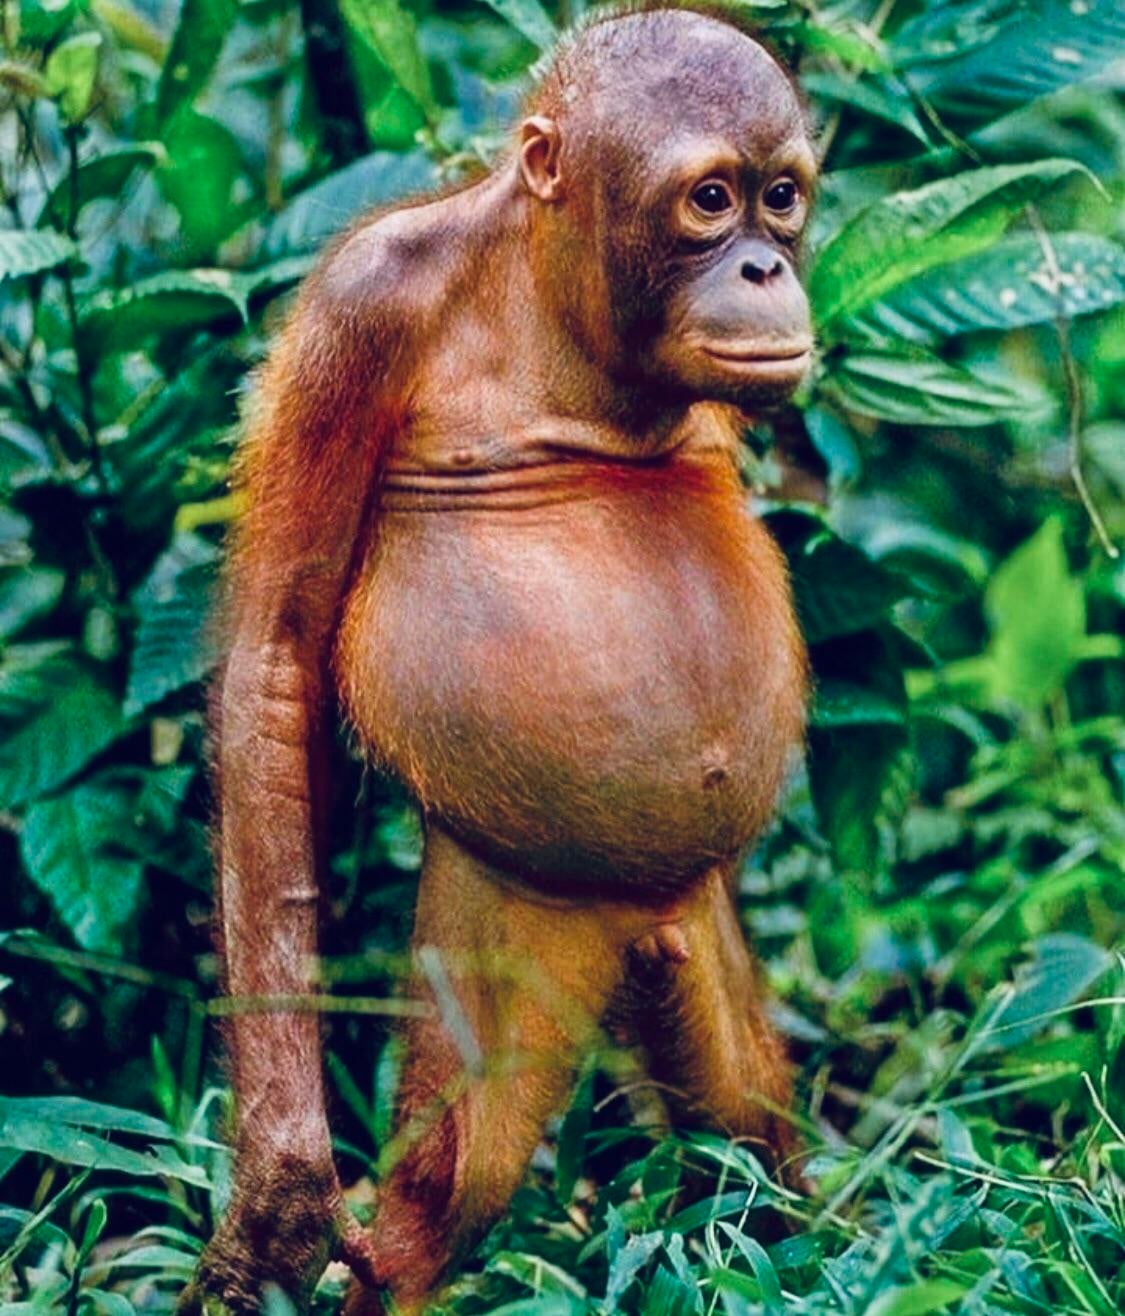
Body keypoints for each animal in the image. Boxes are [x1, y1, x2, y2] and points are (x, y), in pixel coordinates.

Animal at [183, 5, 814, 1313]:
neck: (552, 299)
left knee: (747, 1127)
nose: (767, 269)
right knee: (445, 1183)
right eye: (710, 200)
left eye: (781, 198)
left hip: (690, 926)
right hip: (513, 925)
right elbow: (276, 655)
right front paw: (280, 1195)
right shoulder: (364, 305)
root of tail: (632, 923)